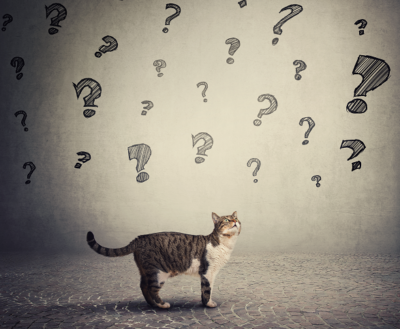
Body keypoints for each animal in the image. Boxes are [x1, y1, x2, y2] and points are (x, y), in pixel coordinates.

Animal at [86, 210, 241, 308]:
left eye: (237, 219)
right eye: (226, 219)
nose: (235, 221)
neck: (226, 244)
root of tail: (140, 238)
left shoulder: (213, 273)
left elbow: (209, 289)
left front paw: (206, 303)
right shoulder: (207, 272)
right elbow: (207, 289)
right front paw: (208, 304)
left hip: (146, 270)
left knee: (143, 286)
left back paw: (152, 305)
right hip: (159, 272)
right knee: (151, 289)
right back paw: (161, 305)